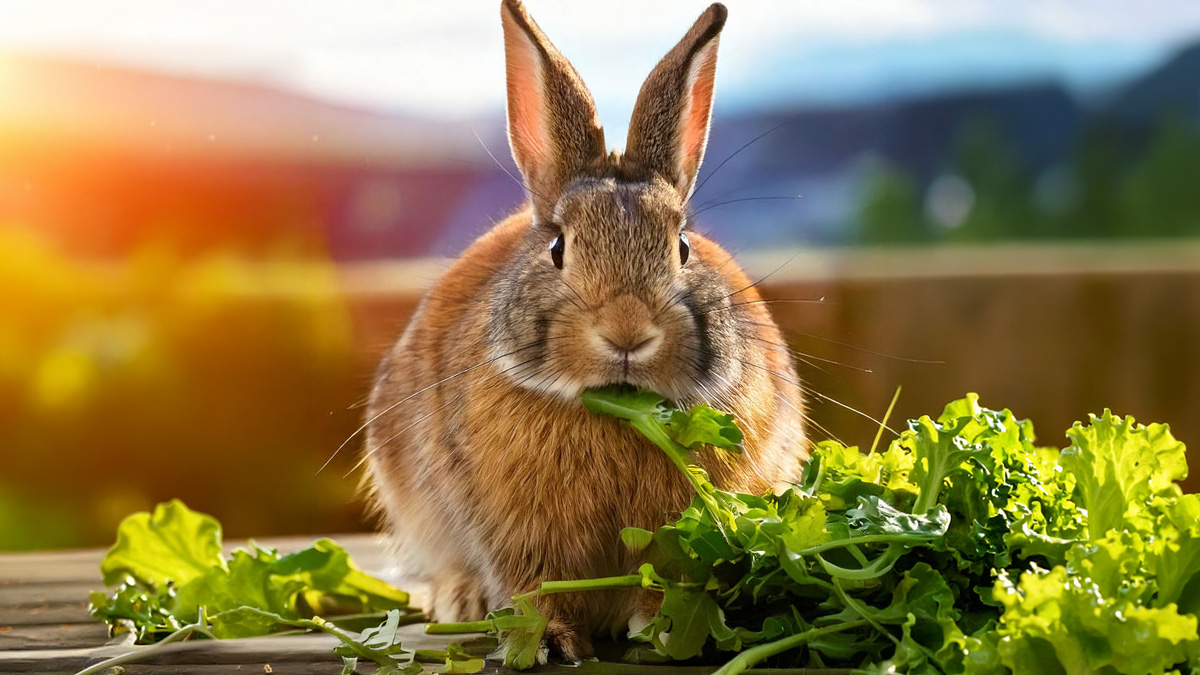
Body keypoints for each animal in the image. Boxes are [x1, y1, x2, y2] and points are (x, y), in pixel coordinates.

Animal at [363, 0, 807, 662]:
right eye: (558, 248)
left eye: (681, 247)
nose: (626, 332)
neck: (615, 411)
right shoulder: (519, 532)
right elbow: (538, 585)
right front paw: (550, 640)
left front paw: (660, 627)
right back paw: (461, 599)